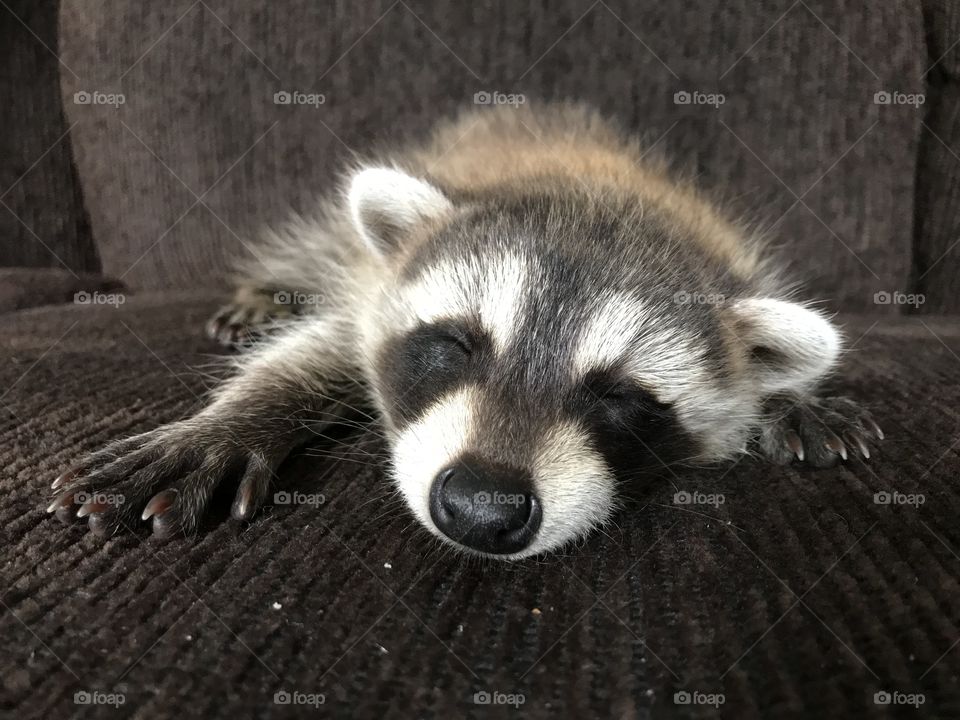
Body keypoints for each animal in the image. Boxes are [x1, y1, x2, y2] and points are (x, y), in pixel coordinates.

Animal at [49, 104, 883, 558]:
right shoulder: (373, 286)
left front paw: (793, 395)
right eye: (456, 345)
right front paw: (233, 420)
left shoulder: (740, 262)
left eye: (619, 397)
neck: (598, 193)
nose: (482, 510)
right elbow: (318, 349)